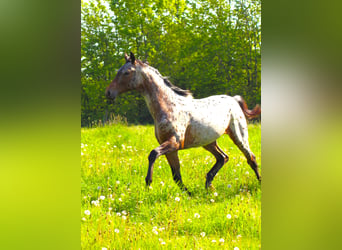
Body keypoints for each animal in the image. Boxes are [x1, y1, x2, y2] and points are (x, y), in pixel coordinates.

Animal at [105, 51, 260, 194]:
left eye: (126, 72)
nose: (108, 93)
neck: (168, 107)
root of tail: (233, 99)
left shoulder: (175, 142)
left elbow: (153, 154)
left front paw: (148, 182)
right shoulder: (170, 148)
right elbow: (176, 175)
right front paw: (189, 193)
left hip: (239, 136)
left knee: (250, 158)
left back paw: (257, 184)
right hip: (208, 142)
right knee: (223, 158)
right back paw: (208, 186)